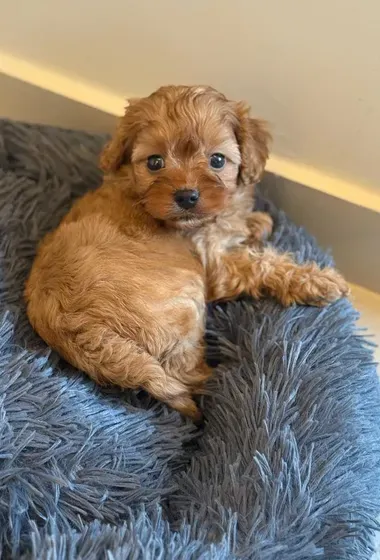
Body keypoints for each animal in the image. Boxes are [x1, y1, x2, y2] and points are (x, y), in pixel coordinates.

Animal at [25, 85, 348, 422]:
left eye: (217, 160)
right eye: (155, 162)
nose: (187, 196)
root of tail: (81, 332)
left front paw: (256, 222)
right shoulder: (215, 266)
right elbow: (263, 266)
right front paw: (319, 281)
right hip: (184, 301)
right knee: (186, 373)